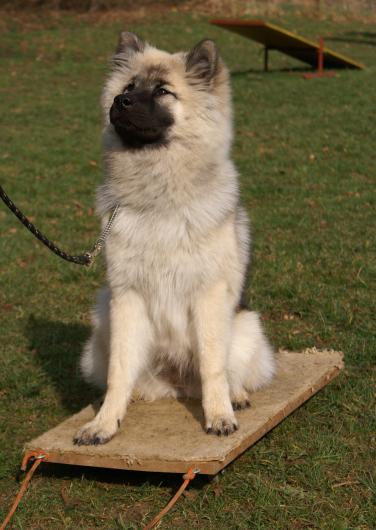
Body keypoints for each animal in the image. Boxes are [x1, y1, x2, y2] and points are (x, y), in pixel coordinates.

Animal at [73, 33, 274, 444]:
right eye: (128, 88)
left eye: (163, 91)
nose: (121, 103)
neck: (158, 197)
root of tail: (178, 385)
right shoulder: (126, 298)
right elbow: (119, 371)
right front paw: (104, 422)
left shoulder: (208, 296)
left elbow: (213, 366)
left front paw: (219, 416)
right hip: (103, 318)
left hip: (246, 326)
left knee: (229, 372)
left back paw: (235, 396)